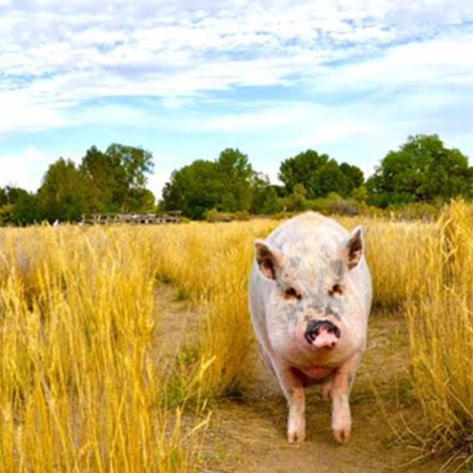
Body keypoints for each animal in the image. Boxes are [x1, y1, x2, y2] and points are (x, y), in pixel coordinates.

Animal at [249, 211, 370, 442]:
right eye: (291, 291)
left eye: (336, 287)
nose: (322, 325)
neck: (316, 364)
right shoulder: (278, 356)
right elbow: (295, 395)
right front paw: (295, 439)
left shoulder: (356, 349)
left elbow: (342, 389)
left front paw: (342, 437)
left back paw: (325, 396)